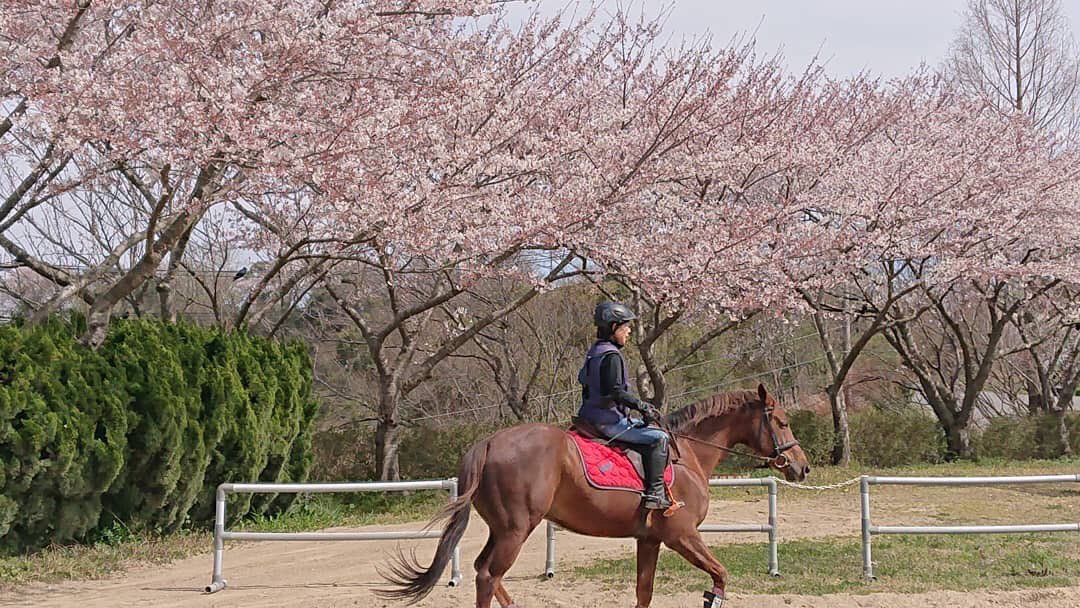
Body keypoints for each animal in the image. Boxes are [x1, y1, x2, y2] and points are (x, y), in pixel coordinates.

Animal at [380, 384, 812, 608]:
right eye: (782, 422)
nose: (802, 467)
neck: (688, 454)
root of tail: (488, 442)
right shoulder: (682, 535)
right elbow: (719, 577)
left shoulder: (650, 540)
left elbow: (644, 591)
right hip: (516, 530)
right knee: (488, 576)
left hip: (502, 530)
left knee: (484, 570)